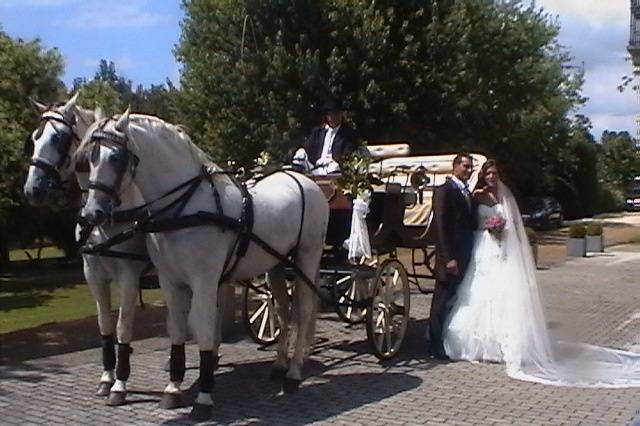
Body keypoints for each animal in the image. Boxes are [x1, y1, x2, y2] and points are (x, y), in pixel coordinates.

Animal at [79, 109, 328, 420]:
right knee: (284, 310)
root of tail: (304, 180)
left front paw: (204, 398)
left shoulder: (205, 282)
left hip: (308, 255)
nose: (93, 213)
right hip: (277, 264)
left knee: (303, 311)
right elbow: (176, 329)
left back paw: (293, 374)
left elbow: (205, 330)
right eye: (89, 157)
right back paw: (280, 365)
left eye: (116, 157)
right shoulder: (170, 281)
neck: (184, 209)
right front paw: (172, 389)